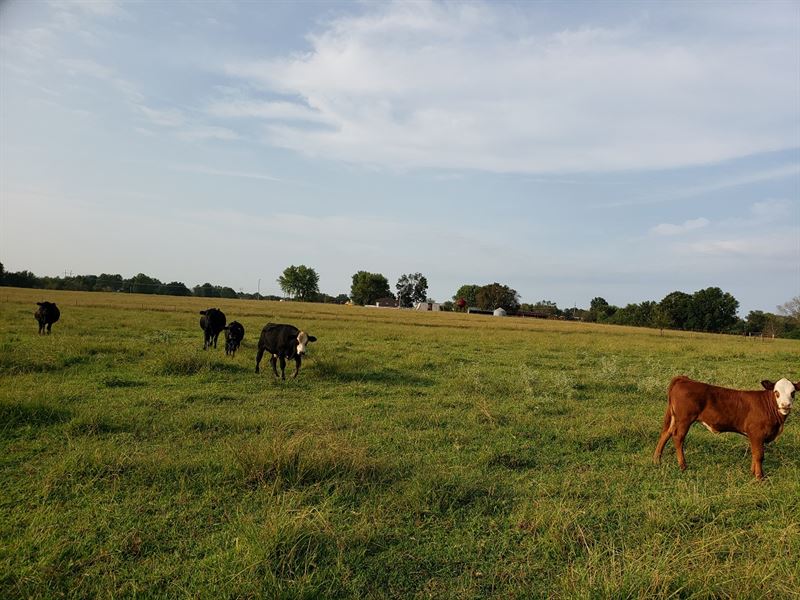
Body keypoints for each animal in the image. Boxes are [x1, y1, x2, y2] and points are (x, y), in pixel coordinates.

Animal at [652, 378, 796, 480]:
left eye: (793, 393)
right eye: (776, 392)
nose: (785, 405)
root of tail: (684, 379)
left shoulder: (754, 436)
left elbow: (754, 454)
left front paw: (753, 472)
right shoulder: (757, 433)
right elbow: (759, 455)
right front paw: (760, 477)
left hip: (675, 418)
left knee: (666, 433)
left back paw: (656, 460)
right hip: (684, 419)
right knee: (678, 437)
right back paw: (683, 466)